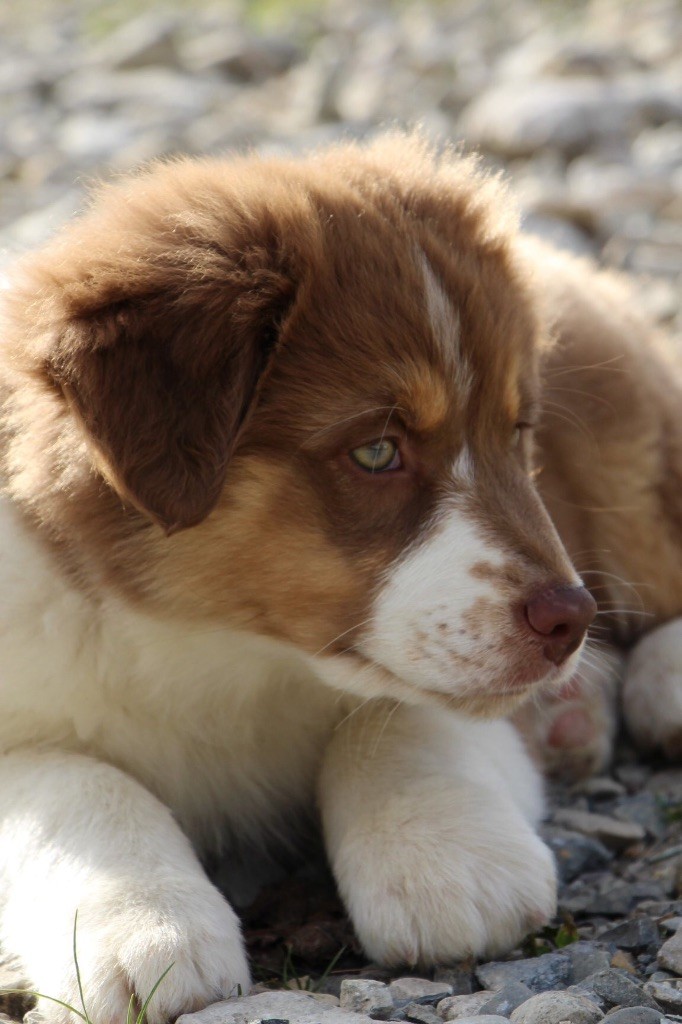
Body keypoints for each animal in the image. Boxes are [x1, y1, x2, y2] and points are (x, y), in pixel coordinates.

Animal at [0, 136, 675, 1024]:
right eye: (378, 451)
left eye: (516, 430)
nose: (571, 619)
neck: (223, 650)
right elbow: (70, 779)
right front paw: (146, 928)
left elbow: (395, 717)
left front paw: (447, 862)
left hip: (627, 451)